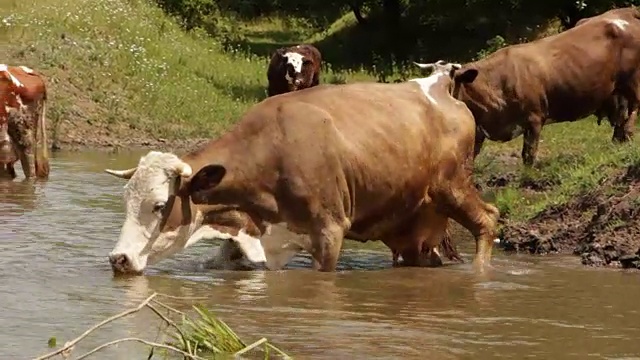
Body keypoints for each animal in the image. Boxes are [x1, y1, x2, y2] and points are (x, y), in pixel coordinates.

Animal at [104, 61, 500, 276]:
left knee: (488, 219)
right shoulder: (262, 242)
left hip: (452, 187)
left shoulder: (329, 232)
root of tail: (444, 93)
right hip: (414, 226)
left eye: (159, 205)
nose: (118, 259)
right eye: (125, 201)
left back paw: (481, 274)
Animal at [416, 5, 640, 166]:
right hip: (615, 90)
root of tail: (626, 11)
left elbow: (528, 156)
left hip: (633, 79)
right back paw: (619, 140)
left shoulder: (534, 118)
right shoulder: (479, 131)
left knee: (634, 107)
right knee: (620, 115)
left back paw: (628, 134)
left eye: (447, 85)